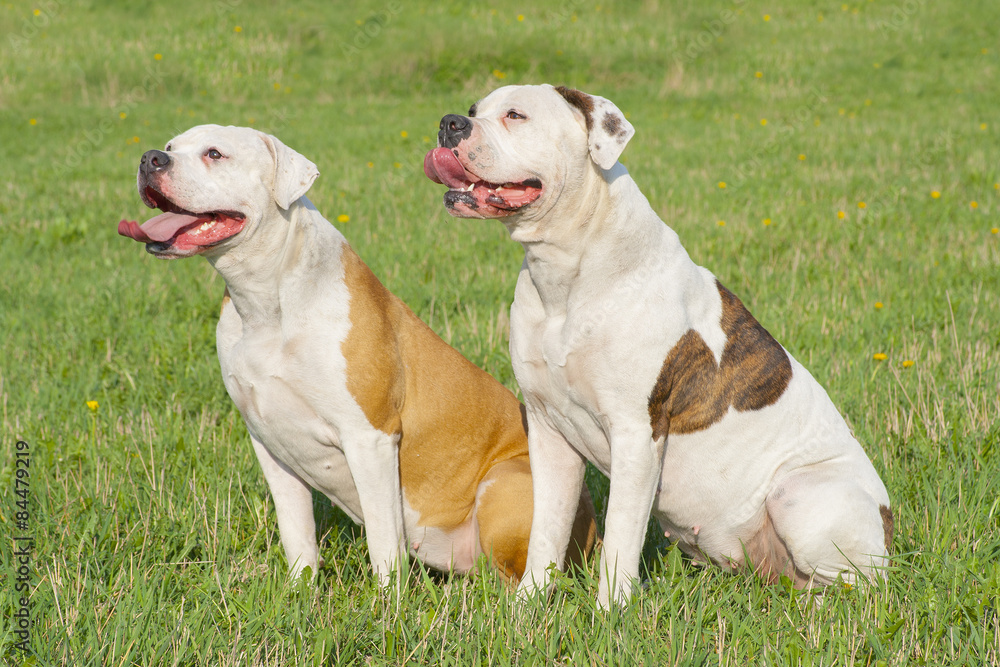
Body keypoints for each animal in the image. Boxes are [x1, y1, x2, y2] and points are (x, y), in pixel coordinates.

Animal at [121, 126, 596, 588]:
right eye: (170, 145)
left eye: (215, 154)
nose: (149, 158)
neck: (268, 302)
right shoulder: (270, 445)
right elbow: (297, 534)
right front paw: (300, 593)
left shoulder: (370, 438)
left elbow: (384, 542)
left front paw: (389, 604)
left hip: (506, 483)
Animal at [426, 86, 896, 608]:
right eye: (474, 111)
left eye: (516, 115)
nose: (450, 122)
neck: (568, 270)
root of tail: (888, 528)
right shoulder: (548, 431)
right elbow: (546, 527)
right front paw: (529, 605)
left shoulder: (636, 435)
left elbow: (620, 535)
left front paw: (610, 611)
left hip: (801, 495)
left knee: (858, 587)